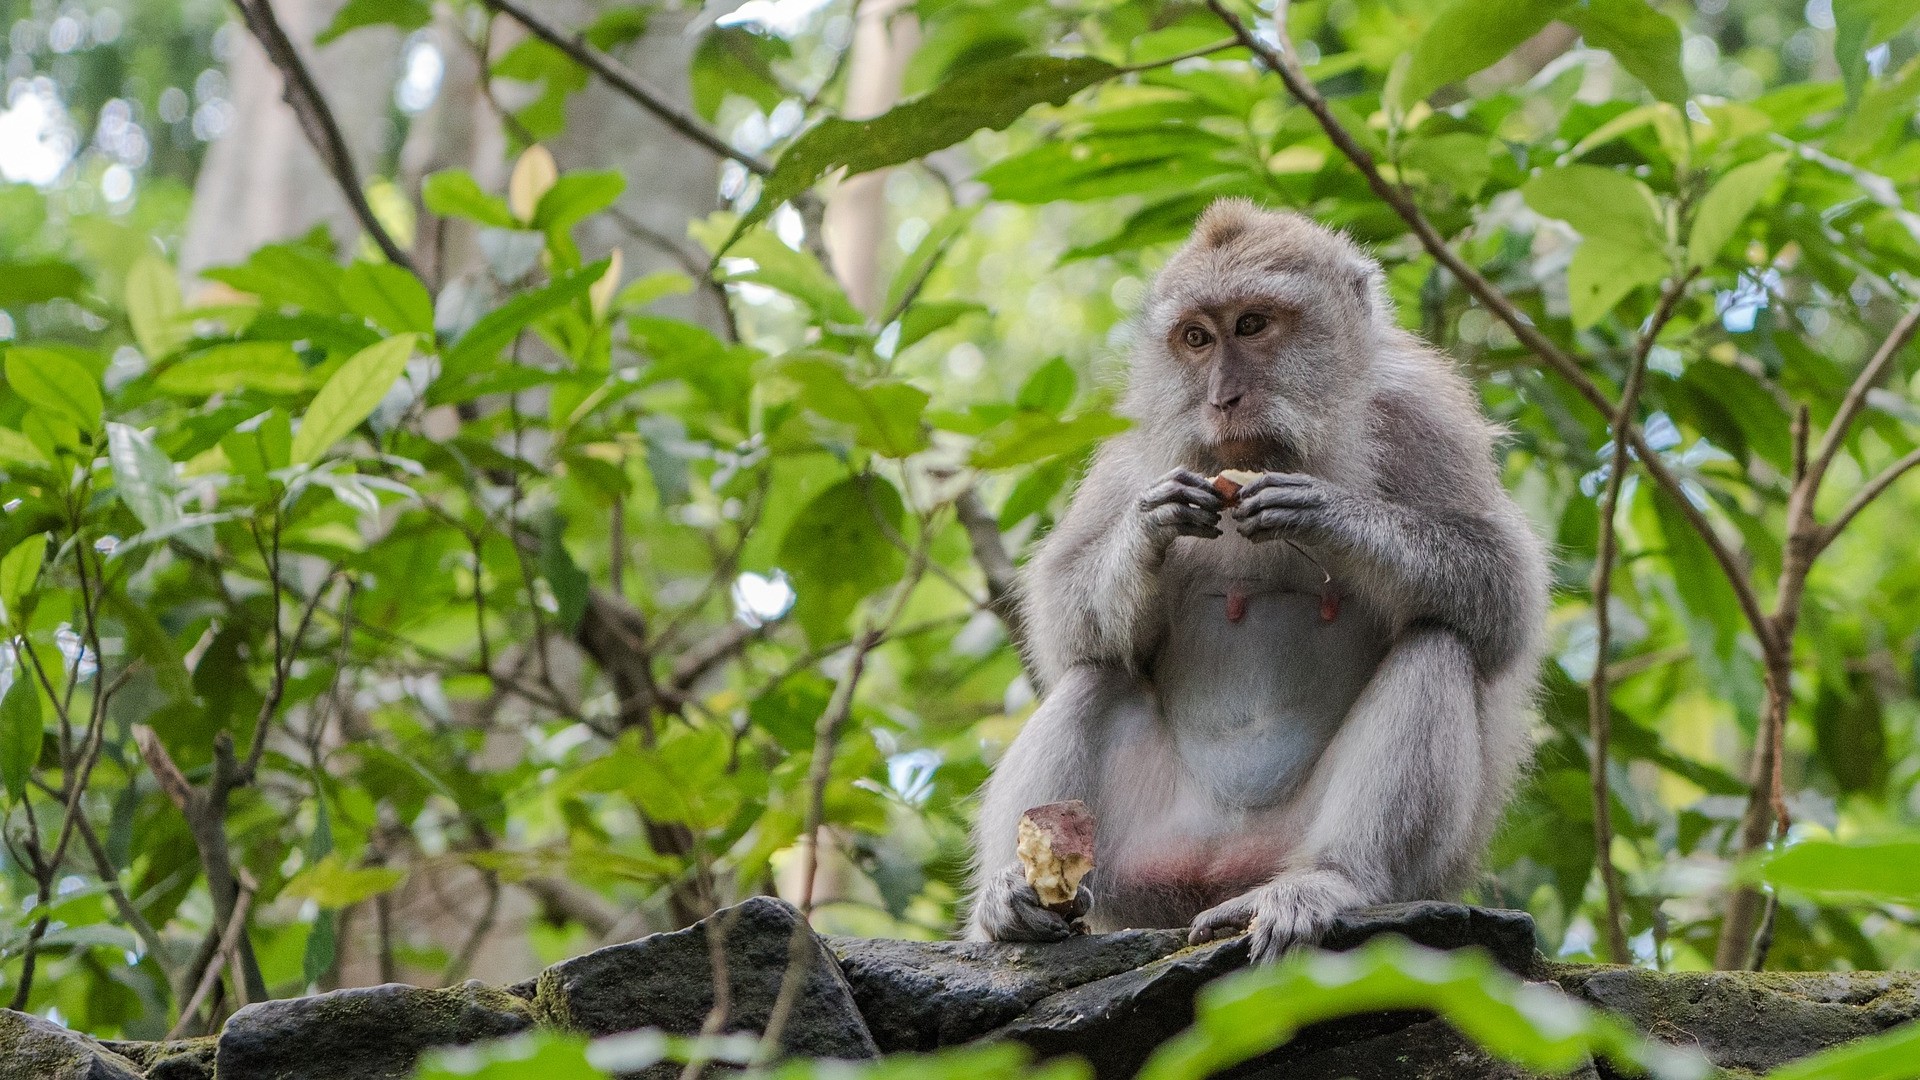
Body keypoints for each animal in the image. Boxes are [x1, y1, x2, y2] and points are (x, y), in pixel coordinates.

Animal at [967, 201, 1551, 957]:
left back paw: (1331, 880)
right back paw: (1012, 901)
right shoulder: (1136, 448)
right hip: (1142, 868)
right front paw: (1151, 527)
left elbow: (1503, 593)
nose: (1223, 398)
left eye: (1251, 324)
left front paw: (1327, 514)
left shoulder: (1423, 416)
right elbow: (1064, 619)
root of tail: (1222, 871)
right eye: (1195, 338)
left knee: (1438, 642)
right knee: (1096, 674)